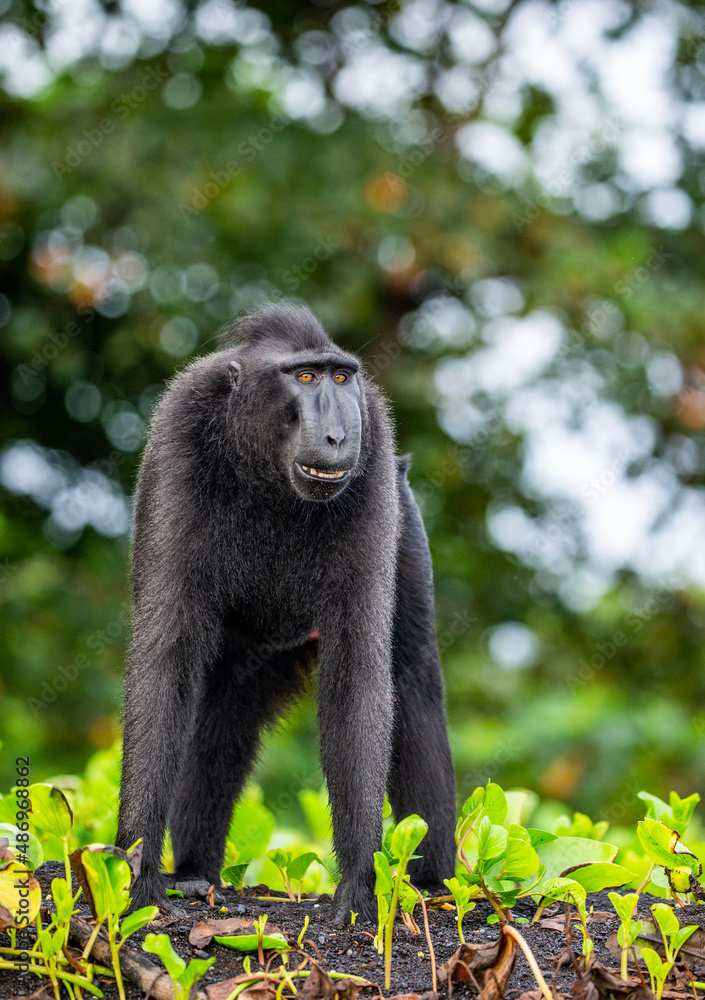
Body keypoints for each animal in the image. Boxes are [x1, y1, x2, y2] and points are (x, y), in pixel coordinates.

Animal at [116, 303, 457, 922]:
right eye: (304, 376)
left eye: (340, 377)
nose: (339, 434)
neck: (267, 475)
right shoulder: (178, 437)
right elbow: (165, 660)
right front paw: (136, 878)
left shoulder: (375, 463)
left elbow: (360, 674)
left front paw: (359, 885)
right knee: (221, 708)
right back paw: (195, 873)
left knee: (412, 679)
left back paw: (434, 883)